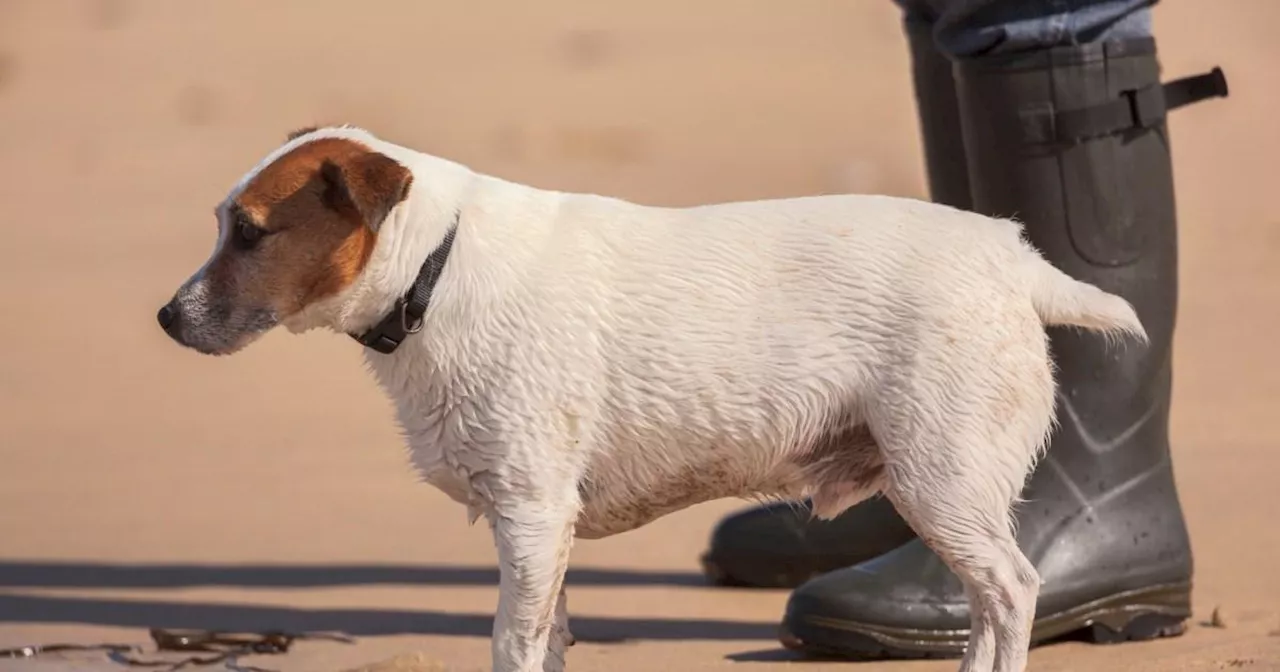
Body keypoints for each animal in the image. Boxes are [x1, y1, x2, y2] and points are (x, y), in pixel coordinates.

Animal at [160, 125, 1152, 670]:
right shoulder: (543, 527)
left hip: (942, 477)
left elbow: (510, 642)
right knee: (986, 608)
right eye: (221, 225)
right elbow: (549, 639)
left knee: (1014, 593)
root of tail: (1015, 262)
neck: (436, 269)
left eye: (249, 234)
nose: (167, 318)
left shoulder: (530, 511)